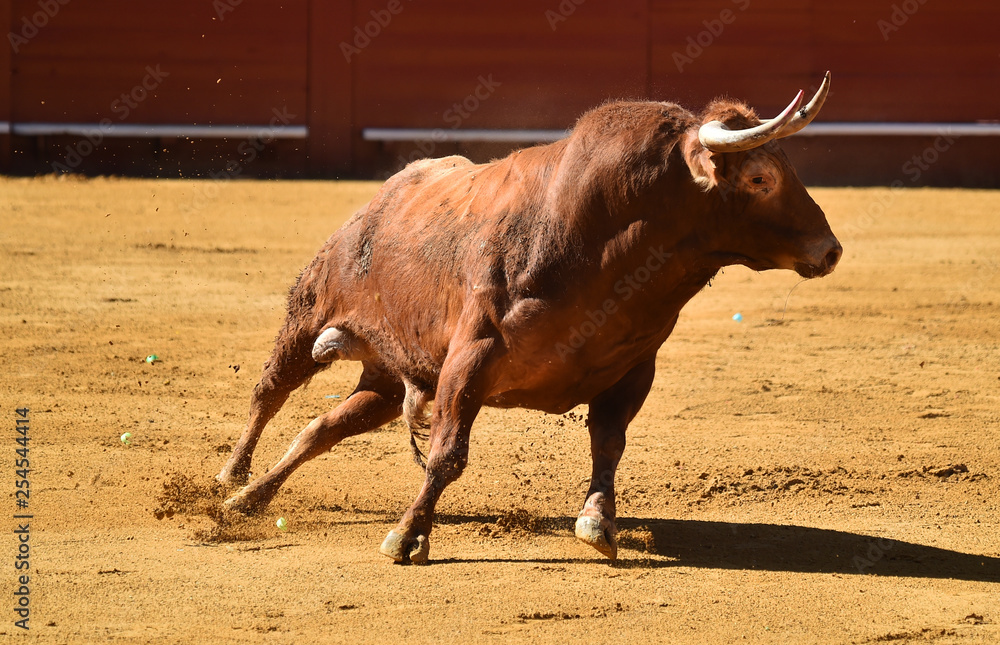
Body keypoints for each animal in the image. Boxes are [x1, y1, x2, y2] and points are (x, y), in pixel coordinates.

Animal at [219, 73, 844, 560]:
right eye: (760, 177)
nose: (830, 250)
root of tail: (383, 196)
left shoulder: (632, 368)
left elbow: (608, 442)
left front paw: (597, 521)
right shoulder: (472, 356)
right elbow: (448, 453)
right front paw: (407, 536)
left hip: (390, 373)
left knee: (322, 427)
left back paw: (251, 499)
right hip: (310, 311)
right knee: (269, 391)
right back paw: (232, 476)